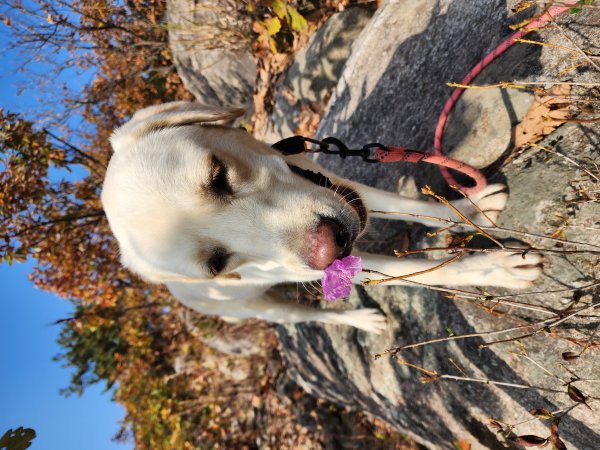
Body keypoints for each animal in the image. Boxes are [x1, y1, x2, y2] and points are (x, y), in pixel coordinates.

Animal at [101, 102, 540, 334]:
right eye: (217, 265)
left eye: (218, 175)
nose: (331, 247)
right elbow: (429, 273)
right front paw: (496, 269)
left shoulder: (333, 181)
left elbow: (413, 206)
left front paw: (471, 207)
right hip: (263, 309)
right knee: (311, 316)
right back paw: (363, 320)